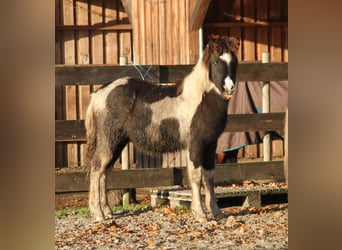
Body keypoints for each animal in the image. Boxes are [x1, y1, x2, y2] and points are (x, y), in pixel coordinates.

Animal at [85, 34, 240, 221]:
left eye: (234, 61)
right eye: (216, 61)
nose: (229, 87)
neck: (198, 100)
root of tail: (98, 93)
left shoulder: (210, 145)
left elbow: (209, 177)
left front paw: (216, 211)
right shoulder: (195, 144)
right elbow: (196, 176)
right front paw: (200, 214)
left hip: (118, 142)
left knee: (104, 171)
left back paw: (108, 211)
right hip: (109, 140)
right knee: (96, 169)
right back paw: (98, 213)